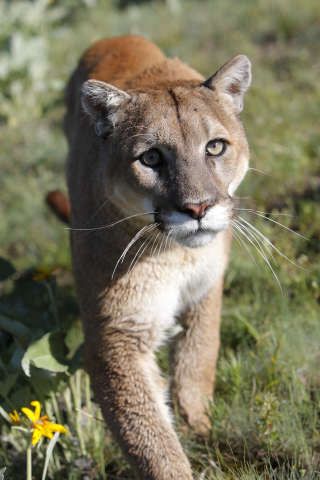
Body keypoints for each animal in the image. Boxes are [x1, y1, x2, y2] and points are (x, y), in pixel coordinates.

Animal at [62, 35, 251, 478]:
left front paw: (199, 426)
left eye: (215, 146)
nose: (198, 208)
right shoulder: (117, 333)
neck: (177, 257)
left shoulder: (206, 290)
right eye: (150, 157)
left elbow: (198, 359)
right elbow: (151, 438)